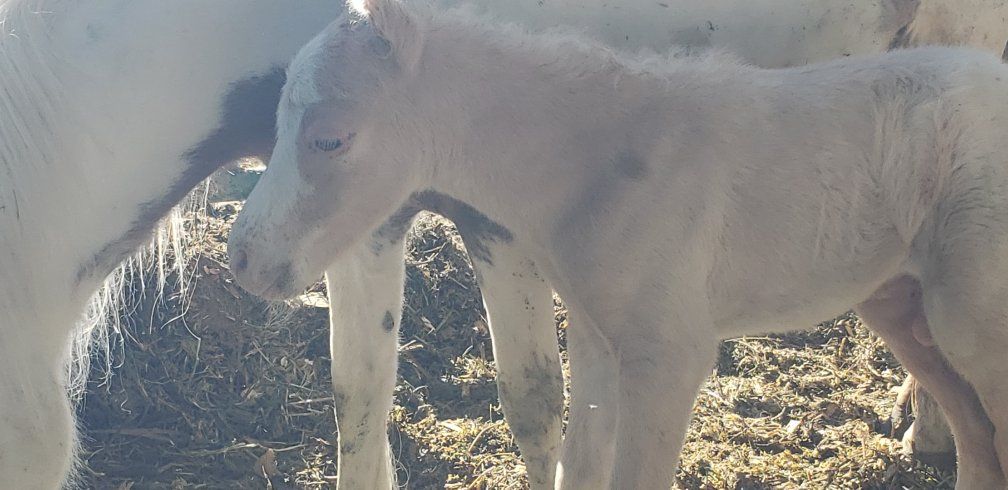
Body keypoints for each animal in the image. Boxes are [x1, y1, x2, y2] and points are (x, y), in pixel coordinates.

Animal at [228, 1, 1008, 488]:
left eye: (331, 139)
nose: (242, 260)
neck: (599, 160)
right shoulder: (601, 338)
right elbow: (583, 465)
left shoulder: (672, 353)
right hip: (904, 302)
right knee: (978, 438)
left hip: (974, 318)